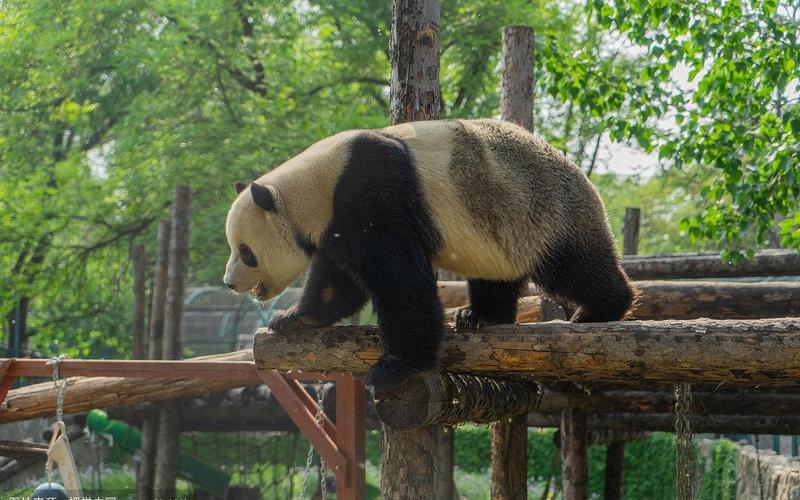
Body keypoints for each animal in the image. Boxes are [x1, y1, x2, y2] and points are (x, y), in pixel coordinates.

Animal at [223, 119, 636, 392]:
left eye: (245, 252)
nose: (228, 283)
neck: (312, 187)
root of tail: (585, 179)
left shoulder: (370, 194)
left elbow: (402, 283)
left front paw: (393, 368)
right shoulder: (334, 225)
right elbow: (337, 283)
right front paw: (295, 318)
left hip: (543, 214)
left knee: (574, 266)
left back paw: (601, 309)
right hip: (498, 229)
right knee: (496, 275)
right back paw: (481, 316)